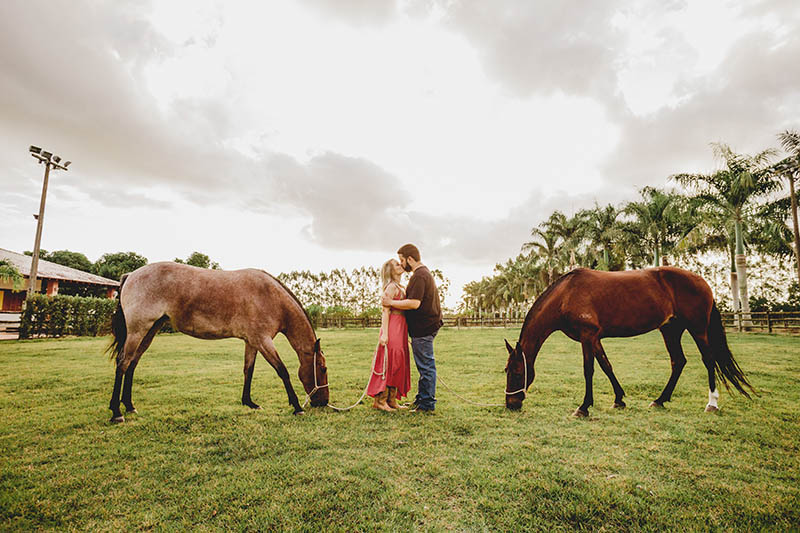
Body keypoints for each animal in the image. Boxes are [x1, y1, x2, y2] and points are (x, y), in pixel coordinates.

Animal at [106, 260, 328, 420]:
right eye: (323, 369)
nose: (324, 402)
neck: (269, 296)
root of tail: (131, 275)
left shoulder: (252, 342)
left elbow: (248, 370)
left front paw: (249, 402)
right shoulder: (263, 341)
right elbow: (282, 371)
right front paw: (297, 406)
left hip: (150, 331)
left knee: (132, 364)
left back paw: (129, 406)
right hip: (138, 331)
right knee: (123, 363)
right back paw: (117, 412)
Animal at [504, 266, 752, 416]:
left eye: (516, 372)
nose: (511, 404)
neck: (567, 294)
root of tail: (702, 282)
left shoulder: (587, 336)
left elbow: (589, 370)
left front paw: (583, 407)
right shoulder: (595, 338)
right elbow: (606, 366)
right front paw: (619, 399)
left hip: (697, 329)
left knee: (708, 360)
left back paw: (712, 403)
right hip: (670, 330)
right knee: (678, 362)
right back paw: (660, 400)